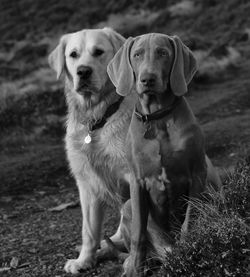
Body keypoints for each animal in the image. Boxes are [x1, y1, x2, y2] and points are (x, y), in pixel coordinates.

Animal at [47, 27, 134, 272]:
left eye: (98, 52)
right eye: (73, 55)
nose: (83, 71)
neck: (96, 119)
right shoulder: (86, 183)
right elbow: (89, 231)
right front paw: (84, 260)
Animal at [107, 33, 221, 274]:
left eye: (163, 53)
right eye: (137, 54)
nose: (147, 79)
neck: (157, 119)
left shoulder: (197, 173)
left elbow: (190, 221)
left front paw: (190, 253)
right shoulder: (137, 181)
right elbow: (139, 233)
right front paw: (135, 270)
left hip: (212, 189)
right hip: (129, 206)